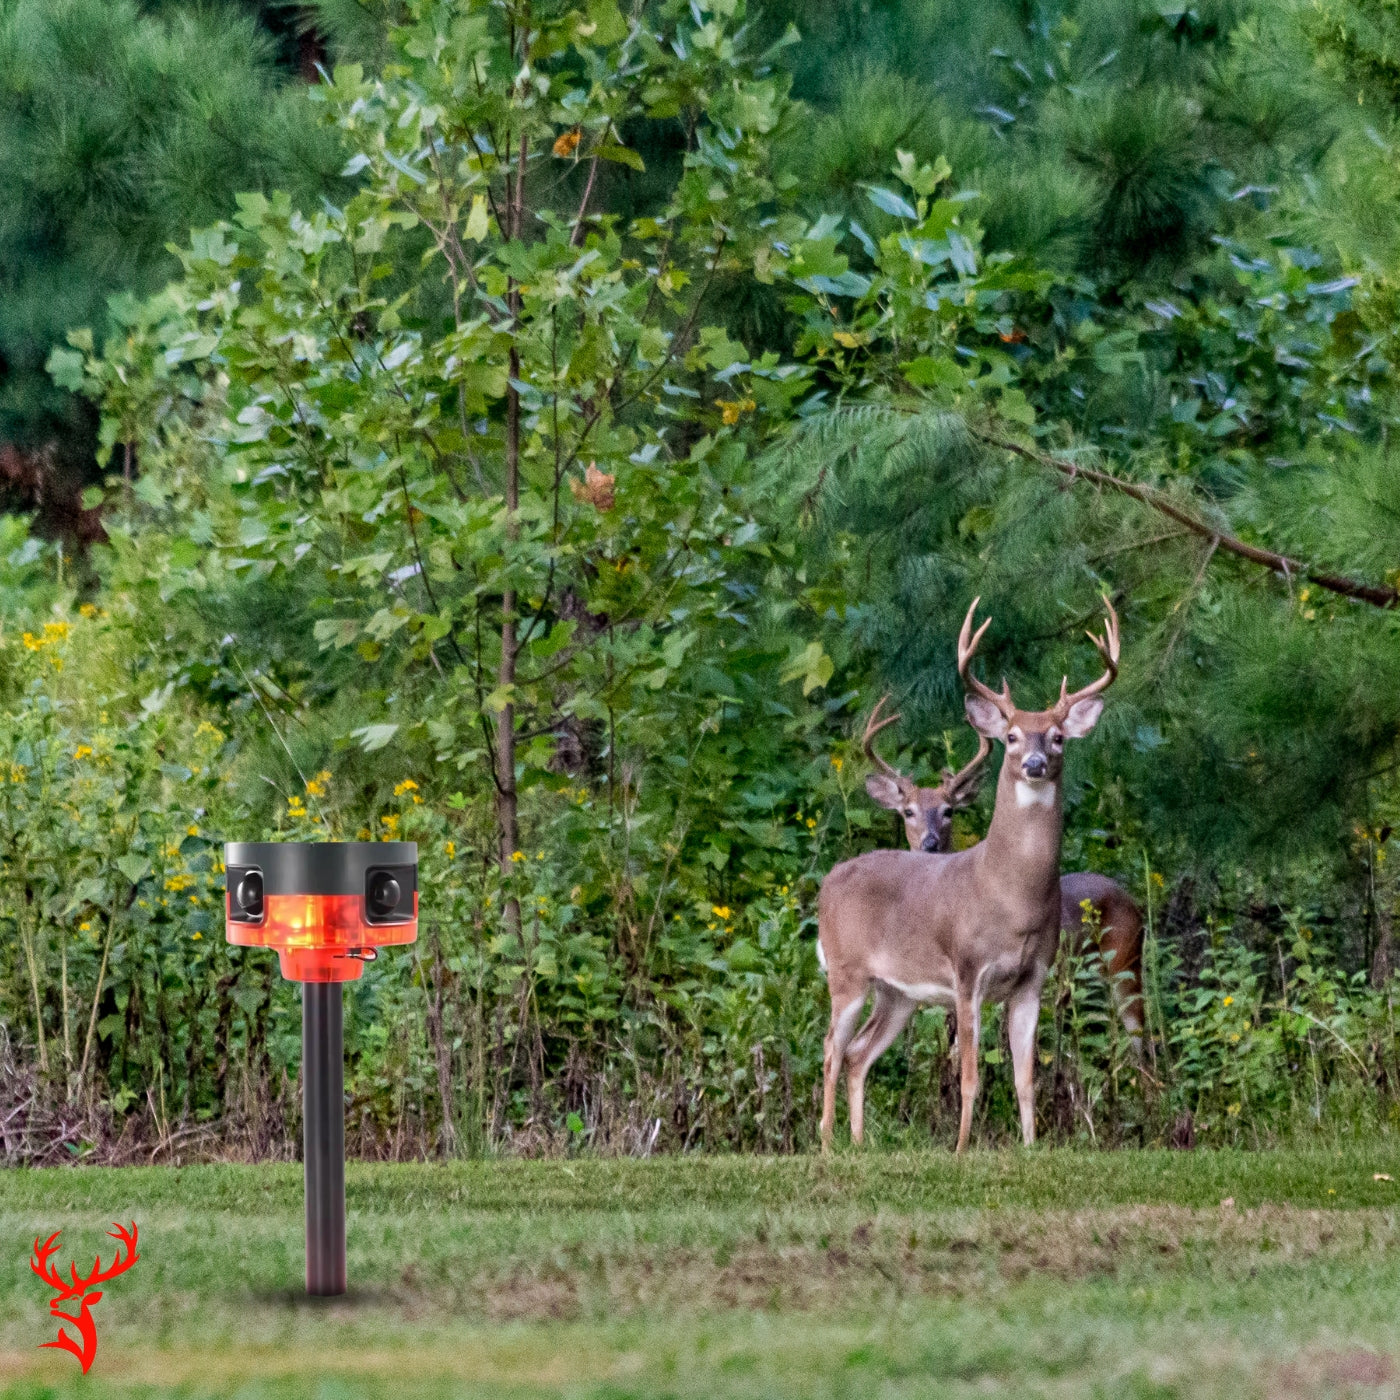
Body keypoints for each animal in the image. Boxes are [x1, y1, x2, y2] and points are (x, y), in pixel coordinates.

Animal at [817, 596, 1120, 1153]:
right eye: (1013, 735)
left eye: (1059, 737)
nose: (1036, 763)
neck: (1010, 896)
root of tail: (829, 881)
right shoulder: (966, 971)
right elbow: (970, 1076)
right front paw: (960, 1150)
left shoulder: (1032, 978)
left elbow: (1025, 1077)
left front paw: (1030, 1148)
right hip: (846, 972)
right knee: (831, 1048)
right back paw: (827, 1145)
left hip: (898, 992)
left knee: (858, 1053)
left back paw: (859, 1143)